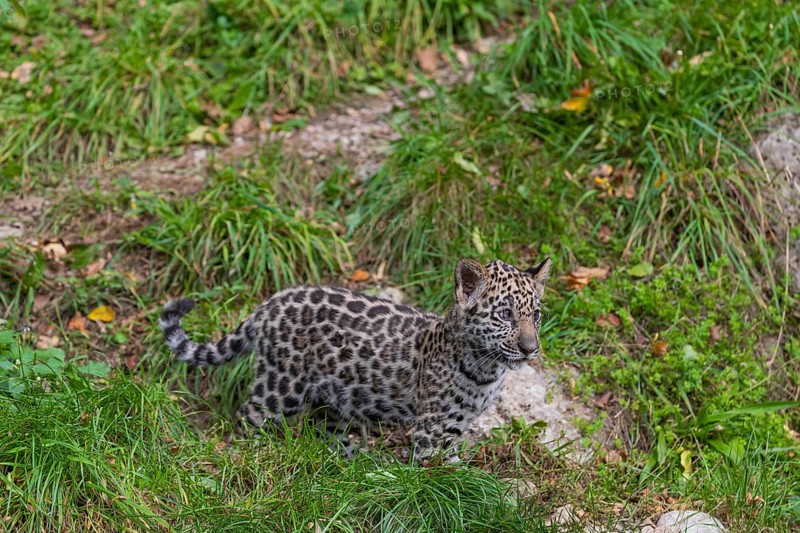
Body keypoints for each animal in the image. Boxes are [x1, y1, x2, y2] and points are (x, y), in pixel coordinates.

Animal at [159, 257, 551, 461]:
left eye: (535, 315)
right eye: (505, 315)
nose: (530, 348)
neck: (487, 369)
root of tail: (268, 304)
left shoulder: (455, 426)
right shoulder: (434, 430)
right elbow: (448, 478)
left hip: (336, 395)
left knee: (324, 427)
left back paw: (354, 463)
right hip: (280, 387)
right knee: (249, 416)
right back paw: (250, 455)